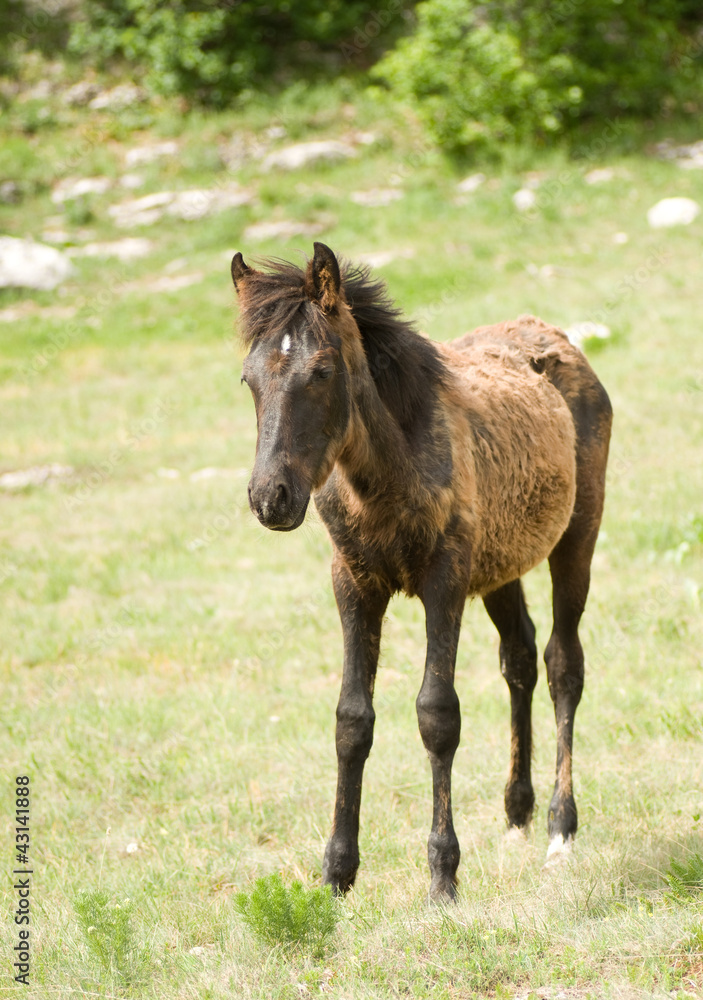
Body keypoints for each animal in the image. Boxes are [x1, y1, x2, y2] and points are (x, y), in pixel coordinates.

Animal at [231, 242, 612, 900]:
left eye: (321, 372)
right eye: (249, 379)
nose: (270, 498)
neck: (388, 469)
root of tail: (556, 338)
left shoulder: (445, 579)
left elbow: (438, 714)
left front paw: (442, 876)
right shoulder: (354, 581)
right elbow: (351, 719)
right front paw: (337, 873)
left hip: (576, 538)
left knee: (563, 663)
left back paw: (560, 829)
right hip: (501, 564)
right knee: (519, 657)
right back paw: (516, 814)